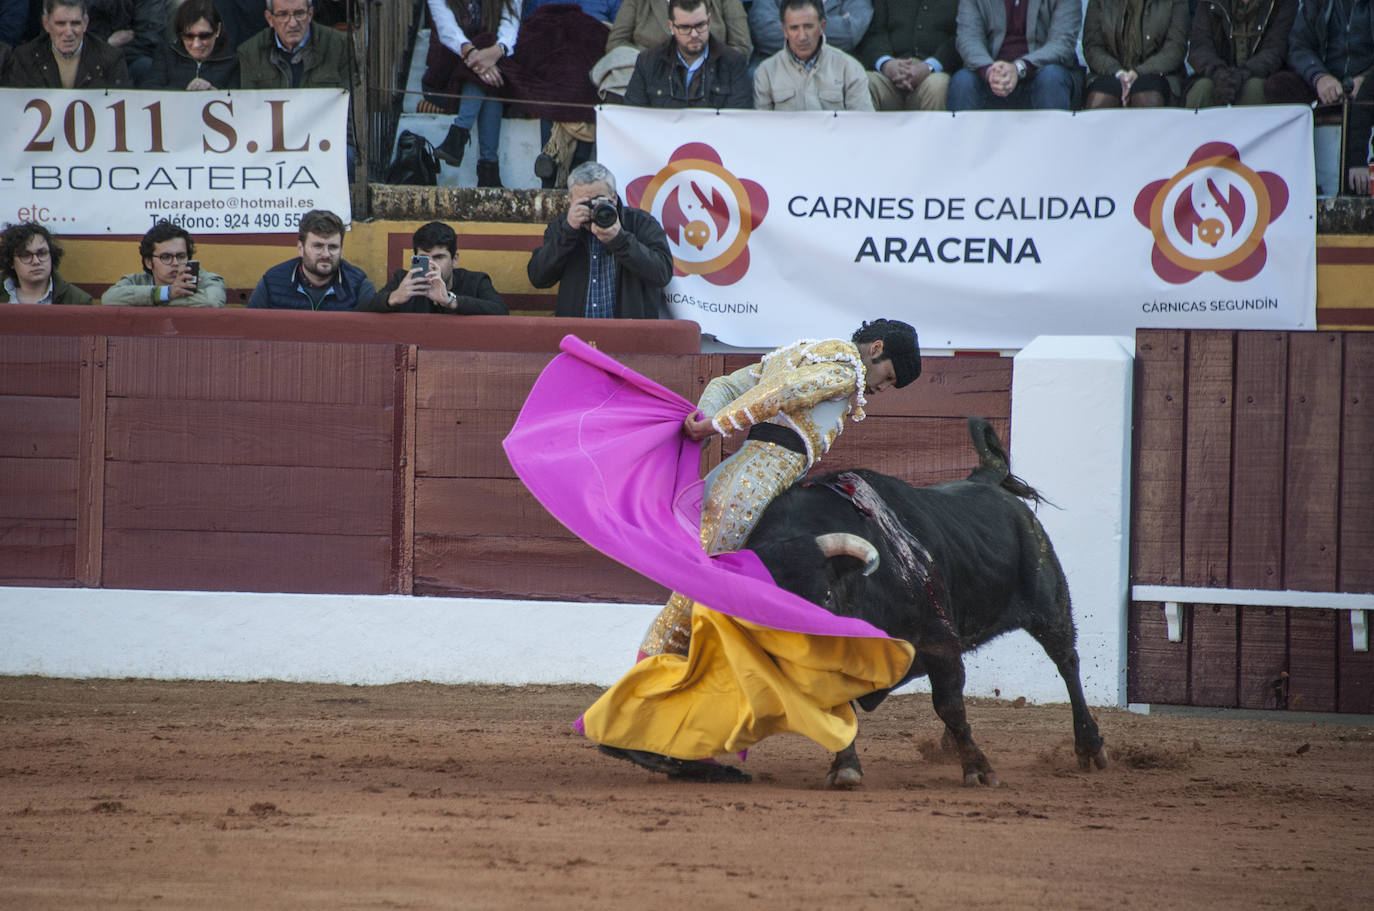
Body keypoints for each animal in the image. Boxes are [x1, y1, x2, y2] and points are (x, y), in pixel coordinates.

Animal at [747, 417, 1110, 785]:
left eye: (826, 595)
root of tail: (984, 478)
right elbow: (843, 710)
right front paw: (845, 768)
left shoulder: (937, 641)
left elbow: (949, 705)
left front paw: (978, 769)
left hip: (1050, 604)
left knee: (1066, 662)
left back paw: (1089, 745)